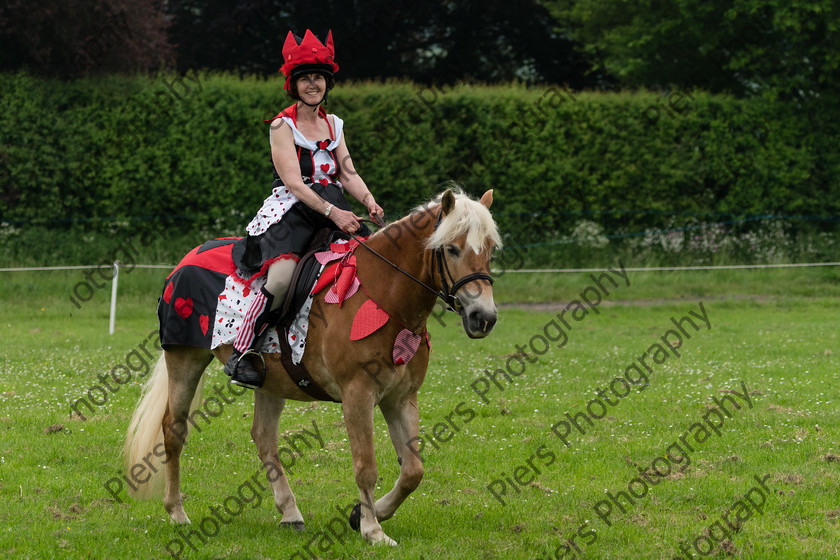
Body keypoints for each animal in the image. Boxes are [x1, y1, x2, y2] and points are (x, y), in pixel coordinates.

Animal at [124, 187, 502, 544]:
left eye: (489, 250)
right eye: (452, 249)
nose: (483, 317)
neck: (383, 295)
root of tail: (187, 259)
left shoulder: (402, 397)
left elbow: (412, 471)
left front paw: (364, 515)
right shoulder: (357, 395)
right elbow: (366, 467)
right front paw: (373, 531)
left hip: (270, 380)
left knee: (263, 437)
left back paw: (290, 512)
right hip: (185, 358)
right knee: (174, 430)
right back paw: (177, 513)